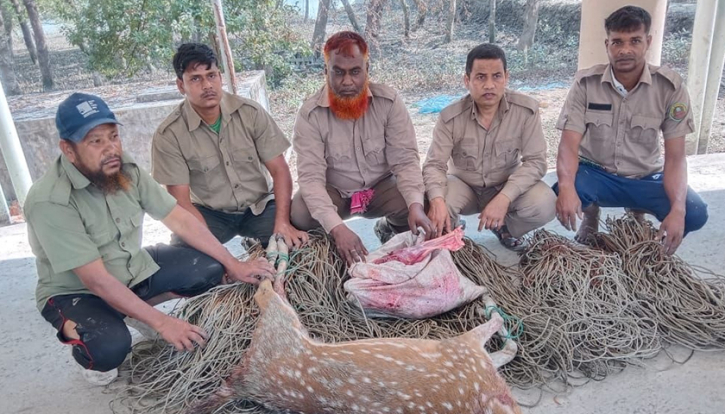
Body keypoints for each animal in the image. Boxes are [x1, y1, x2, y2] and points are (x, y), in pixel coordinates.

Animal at [191, 274, 520, 414]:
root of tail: (242, 382)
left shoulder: (472, 359)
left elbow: (508, 349)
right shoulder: (461, 349)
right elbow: (500, 331)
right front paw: (487, 302)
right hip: (279, 324)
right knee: (266, 292)